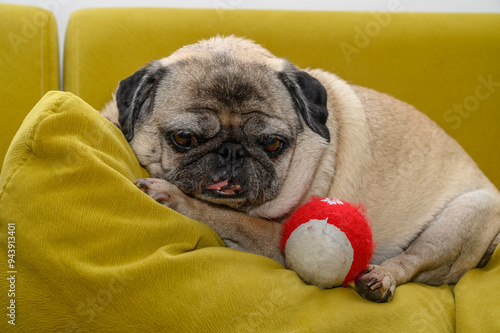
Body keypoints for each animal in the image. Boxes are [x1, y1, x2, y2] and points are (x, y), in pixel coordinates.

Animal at [101, 35, 500, 300]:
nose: (231, 152)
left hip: (460, 219)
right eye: (184, 138)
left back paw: (381, 279)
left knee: (413, 261)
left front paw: (171, 196)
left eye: (272, 144)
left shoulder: (276, 236)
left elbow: (223, 215)